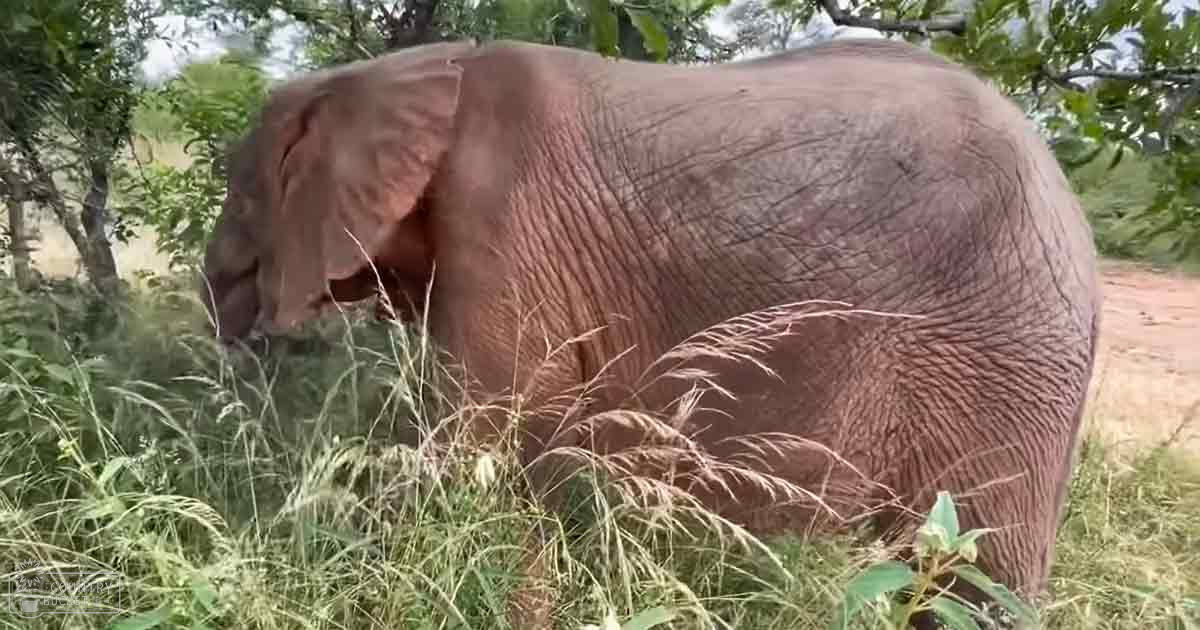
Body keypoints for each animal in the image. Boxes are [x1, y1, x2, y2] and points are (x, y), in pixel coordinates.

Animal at [200, 36, 1101, 626]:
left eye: (242, 192)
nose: (229, 327)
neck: (402, 74)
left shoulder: (503, 222)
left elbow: (483, 433)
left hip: (1006, 367)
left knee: (975, 580)